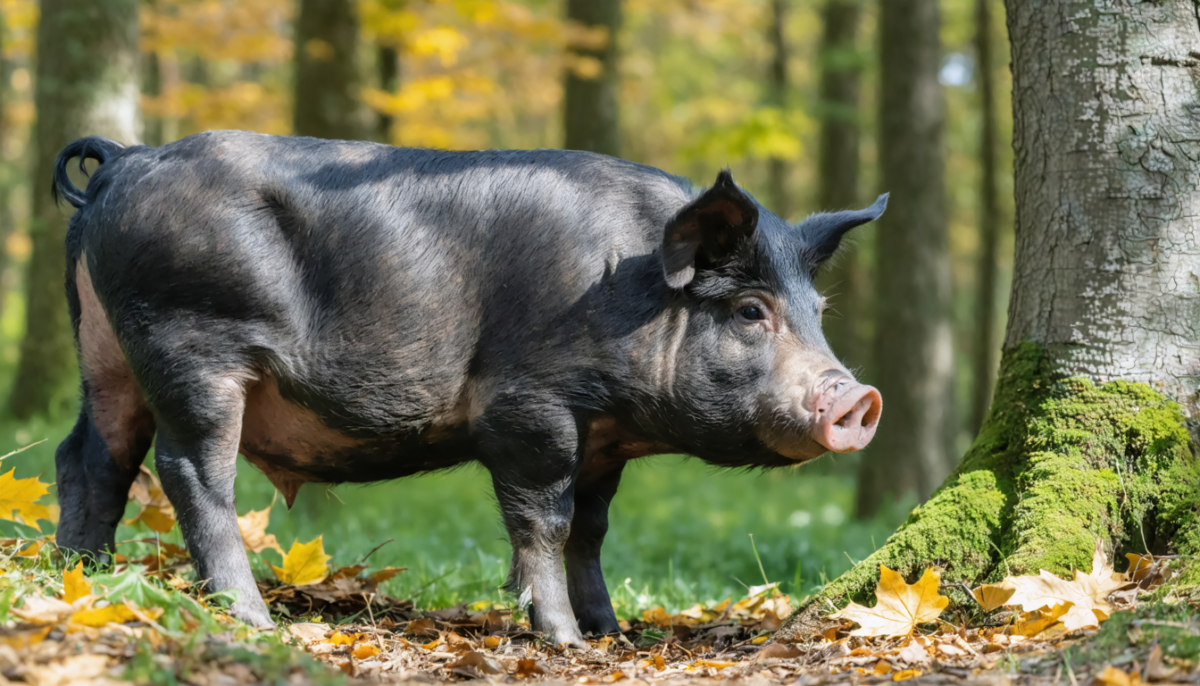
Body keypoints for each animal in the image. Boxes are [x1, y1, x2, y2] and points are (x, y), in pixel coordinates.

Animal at [51, 131, 884, 646]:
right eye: (750, 311)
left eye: (819, 312)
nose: (858, 398)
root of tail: (124, 161)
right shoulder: (532, 410)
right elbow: (544, 523)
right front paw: (566, 641)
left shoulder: (604, 441)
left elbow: (591, 531)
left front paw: (611, 633)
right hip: (192, 342)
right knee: (192, 472)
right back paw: (253, 621)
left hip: (104, 350)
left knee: (89, 456)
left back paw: (81, 579)